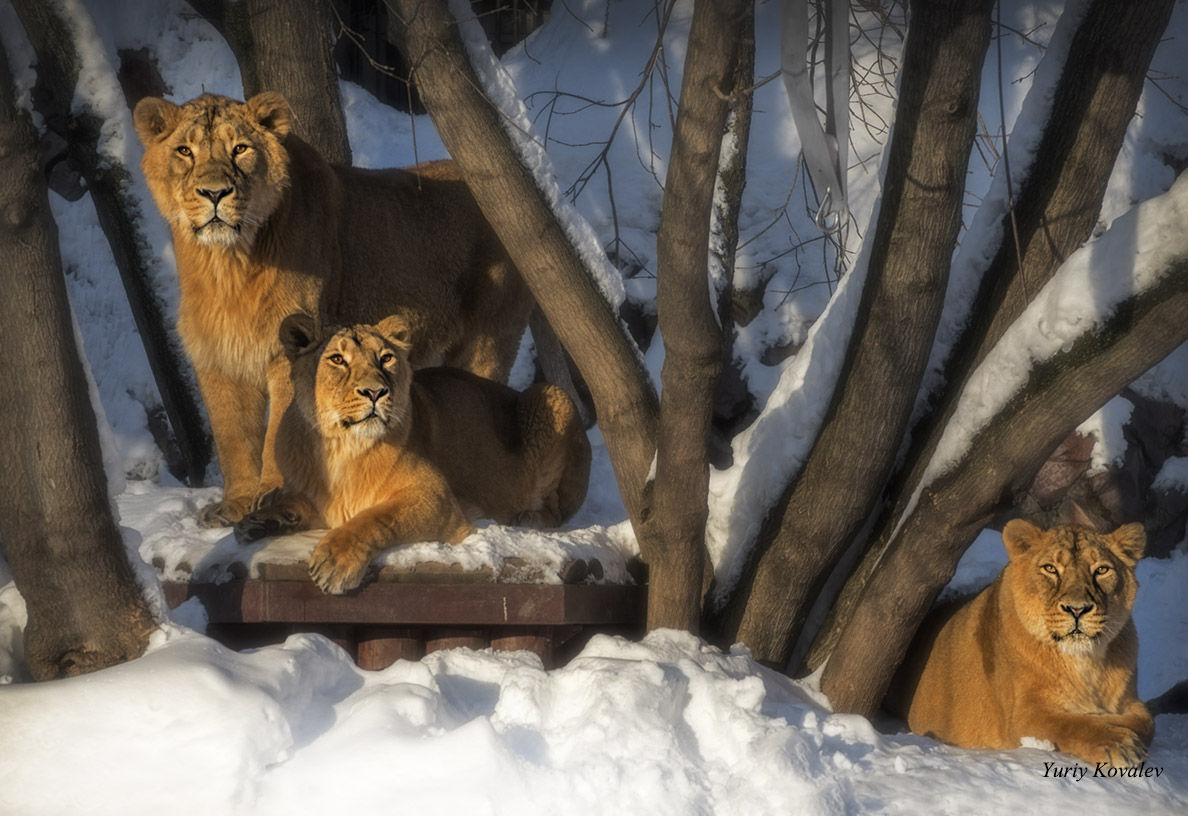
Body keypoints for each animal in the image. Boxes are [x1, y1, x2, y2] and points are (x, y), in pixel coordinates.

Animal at [133, 92, 535, 527]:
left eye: (239, 149)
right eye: (184, 151)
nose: (214, 193)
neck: (227, 264)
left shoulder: (290, 349)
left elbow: (278, 432)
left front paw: (273, 496)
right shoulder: (217, 356)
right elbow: (233, 438)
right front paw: (235, 505)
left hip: (488, 338)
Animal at [233, 314, 591, 594]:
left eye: (385, 359)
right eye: (337, 360)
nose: (376, 392)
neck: (340, 448)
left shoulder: (437, 498)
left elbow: (375, 518)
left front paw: (335, 561)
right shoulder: (315, 498)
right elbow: (292, 503)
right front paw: (258, 520)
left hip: (550, 394)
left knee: (559, 509)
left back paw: (529, 518)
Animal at [886, 520, 1153, 767]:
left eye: (1101, 570)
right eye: (1050, 569)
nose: (1077, 609)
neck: (1084, 661)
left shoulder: (1131, 701)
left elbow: (1147, 722)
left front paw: (1106, 719)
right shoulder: (1022, 717)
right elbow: (1069, 724)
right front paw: (1116, 742)